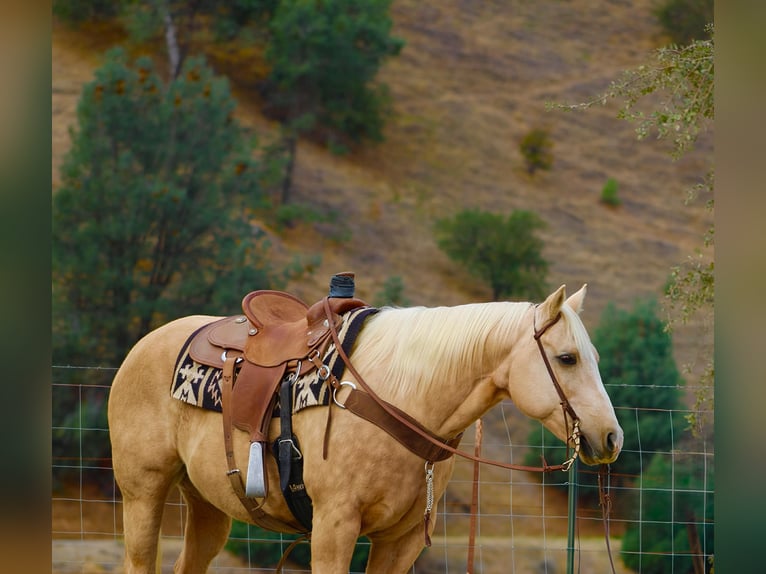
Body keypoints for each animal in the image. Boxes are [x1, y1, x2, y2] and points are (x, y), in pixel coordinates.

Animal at [108, 283, 623, 573]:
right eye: (567, 358)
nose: (611, 437)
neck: (400, 395)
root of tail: (145, 343)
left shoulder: (401, 542)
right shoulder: (334, 528)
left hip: (209, 505)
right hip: (143, 492)